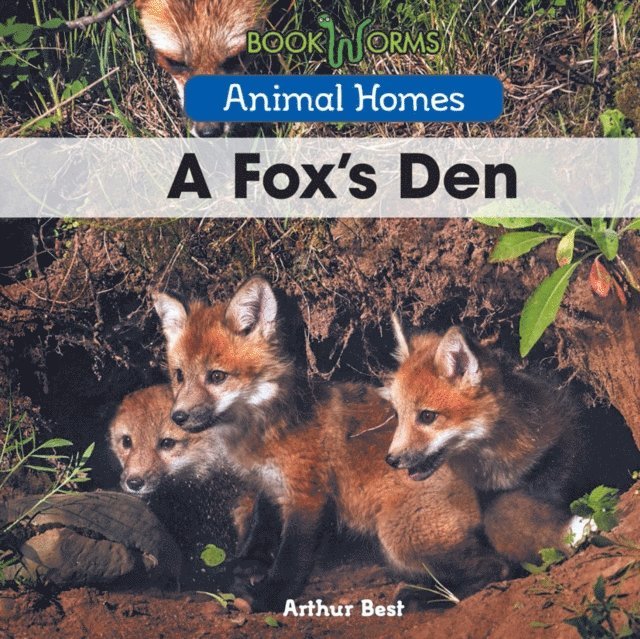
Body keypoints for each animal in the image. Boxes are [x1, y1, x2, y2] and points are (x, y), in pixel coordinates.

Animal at [153, 277, 511, 612]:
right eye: (179, 375)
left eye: (217, 376)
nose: (179, 416)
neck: (261, 434)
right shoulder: (269, 487)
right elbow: (259, 532)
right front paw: (245, 568)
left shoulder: (308, 494)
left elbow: (290, 559)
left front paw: (268, 597)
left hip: (399, 537)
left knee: (498, 567)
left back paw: (424, 598)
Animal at [382, 318, 588, 564]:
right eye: (397, 415)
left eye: (427, 416)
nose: (391, 459)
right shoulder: (489, 493)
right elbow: (498, 518)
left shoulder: (563, 447)